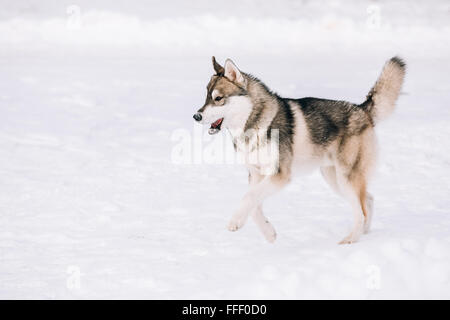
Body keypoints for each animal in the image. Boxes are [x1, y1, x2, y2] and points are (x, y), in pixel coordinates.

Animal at [192, 56, 404, 244]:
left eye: (218, 98)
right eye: (206, 97)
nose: (196, 116)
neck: (255, 124)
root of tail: (362, 109)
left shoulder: (280, 174)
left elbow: (248, 197)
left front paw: (235, 221)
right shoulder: (256, 175)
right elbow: (254, 206)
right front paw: (269, 233)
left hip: (346, 178)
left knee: (361, 210)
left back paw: (351, 239)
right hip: (334, 178)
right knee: (368, 200)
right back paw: (364, 233)